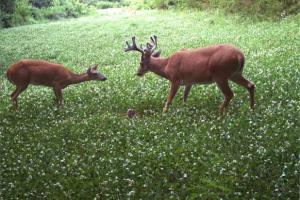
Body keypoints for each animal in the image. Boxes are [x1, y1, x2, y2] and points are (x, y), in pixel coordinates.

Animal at [125, 35, 255, 112]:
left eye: (141, 62)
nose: (138, 73)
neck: (166, 66)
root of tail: (240, 55)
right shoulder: (189, 82)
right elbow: (184, 97)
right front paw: (184, 110)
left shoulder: (175, 79)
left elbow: (169, 99)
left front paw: (164, 113)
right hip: (235, 74)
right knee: (251, 85)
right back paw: (251, 108)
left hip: (220, 74)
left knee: (229, 94)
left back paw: (219, 112)